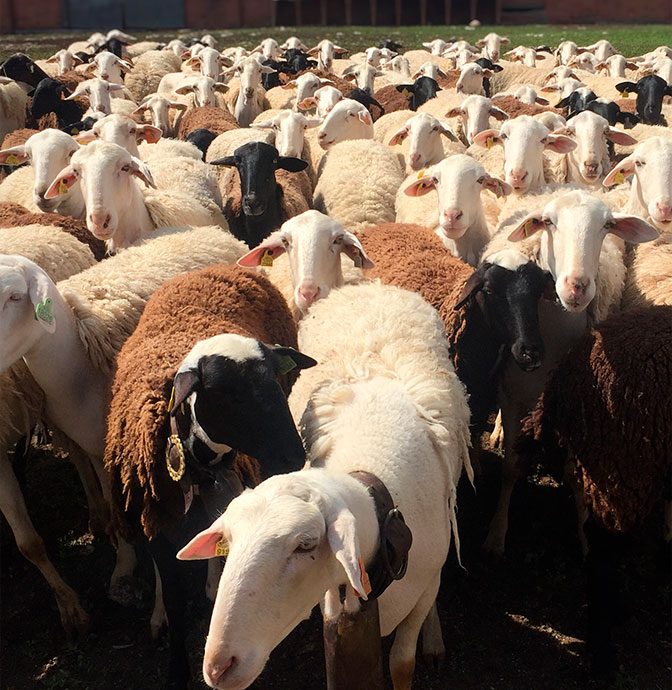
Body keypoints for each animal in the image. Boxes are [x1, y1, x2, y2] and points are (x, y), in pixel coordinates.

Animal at [105, 265, 314, 689]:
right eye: (227, 394)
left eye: (276, 380)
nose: (292, 455)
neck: (203, 468)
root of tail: (223, 267)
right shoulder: (158, 529)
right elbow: (174, 601)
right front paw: (176, 669)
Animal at [179, 279, 471, 690]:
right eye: (229, 542)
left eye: (305, 545)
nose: (219, 666)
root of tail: (369, 284)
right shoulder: (335, 595)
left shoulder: (424, 585)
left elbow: (402, 662)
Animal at [479, 189, 658, 555]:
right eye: (548, 222)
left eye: (607, 226)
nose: (577, 287)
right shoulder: (511, 392)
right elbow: (510, 468)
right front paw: (496, 533)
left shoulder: (576, 405)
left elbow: (576, 474)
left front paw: (582, 533)